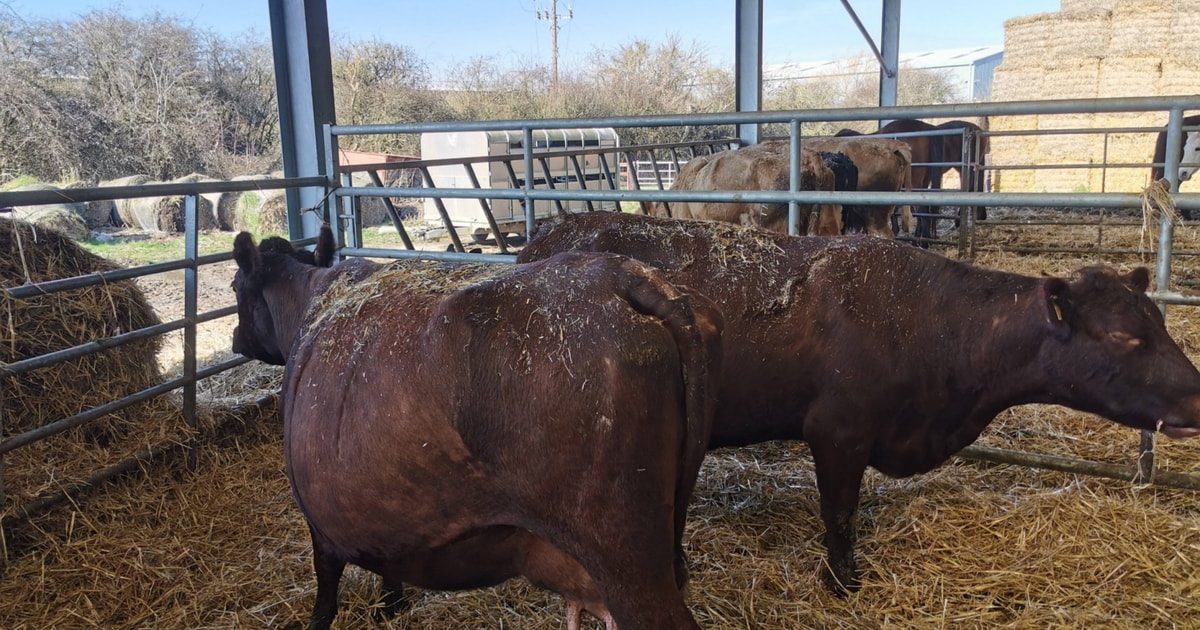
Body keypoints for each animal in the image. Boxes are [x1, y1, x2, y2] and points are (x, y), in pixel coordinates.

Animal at [231, 226, 723, 630]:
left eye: (237, 287)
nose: (235, 338)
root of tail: (624, 276)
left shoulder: (319, 517)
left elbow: (325, 583)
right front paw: (389, 605)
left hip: (622, 556)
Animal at [517, 211, 1200, 596]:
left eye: (1160, 322)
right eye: (1124, 337)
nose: (1196, 398)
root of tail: (550, 231)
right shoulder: (837, 431)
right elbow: (839, 511)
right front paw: (843, 579)